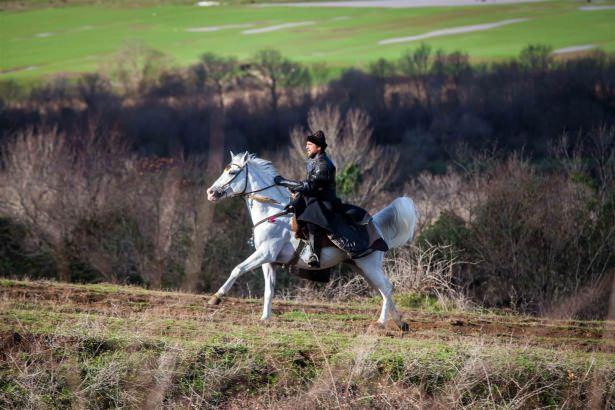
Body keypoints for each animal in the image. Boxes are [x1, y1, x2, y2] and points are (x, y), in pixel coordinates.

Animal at [207, 152, 418, 328]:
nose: (210, 192)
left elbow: (237, 269)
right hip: (361, 268)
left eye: (232, 172)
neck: (273, 212)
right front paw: (265, 318)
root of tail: (376, 226)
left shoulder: (264, 254)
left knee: (386, 288)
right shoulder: (268, 261)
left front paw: (216, 297)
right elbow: (269, 290)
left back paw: (382, 323)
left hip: (368, 265)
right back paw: (400, 323)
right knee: (383, 290)